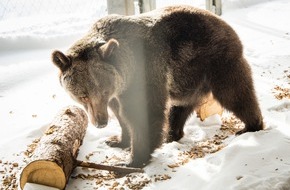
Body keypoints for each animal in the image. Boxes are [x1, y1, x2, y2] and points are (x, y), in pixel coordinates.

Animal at [51, 5, 264, 167]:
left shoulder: (144, 74)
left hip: (216, 61)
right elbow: (121, 114)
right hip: (187, 78)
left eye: (102, 91)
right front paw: (118, 140)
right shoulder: (117, 91)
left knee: (235, 93)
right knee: (179, 107)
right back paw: (171, 134)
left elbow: (143, 112)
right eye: (83, 95)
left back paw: (250, 126)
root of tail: (227, 25)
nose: (100, 123)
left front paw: (133, 159)